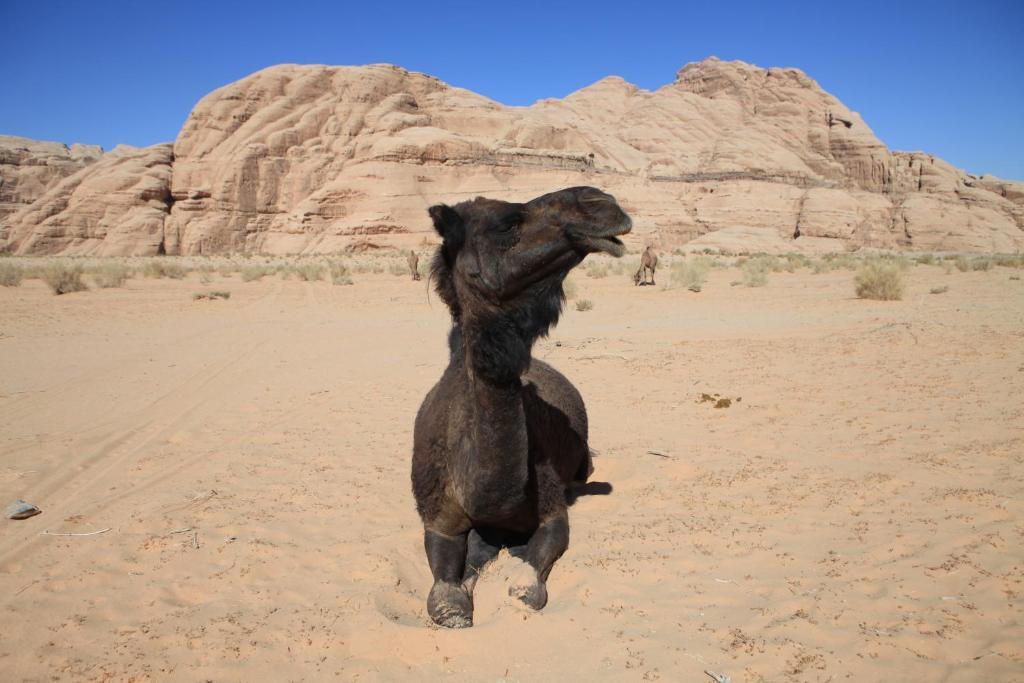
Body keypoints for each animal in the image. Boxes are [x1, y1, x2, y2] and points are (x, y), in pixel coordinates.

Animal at [409, 184, 630, 626]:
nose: (601, 201)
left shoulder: (552, 511)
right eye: (507, 223)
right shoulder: (437, 520)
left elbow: (530, 579)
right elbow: (445, 592)